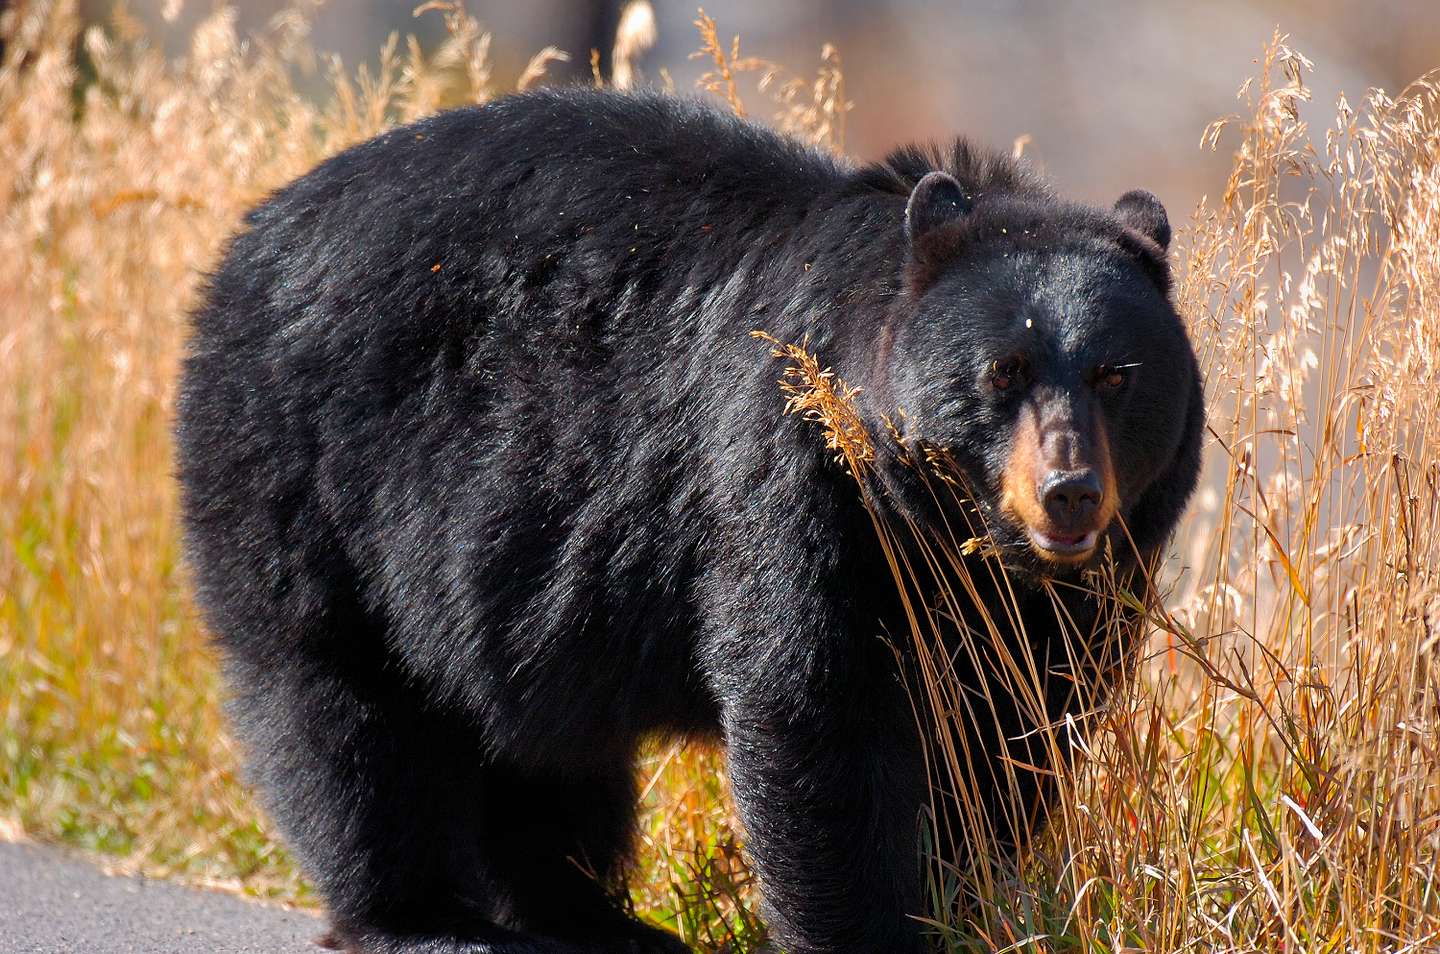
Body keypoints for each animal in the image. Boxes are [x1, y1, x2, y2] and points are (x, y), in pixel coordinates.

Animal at [174, 88, 1203, 954]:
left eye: (1117, 375)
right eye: (1003, 372)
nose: (1069, 492)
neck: (948, 534)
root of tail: (247, 241)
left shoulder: (1069, 591)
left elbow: (1011, 727)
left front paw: (965, 899)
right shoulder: (797, 476)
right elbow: (814, 705)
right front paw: (869, 927)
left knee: (541, 743)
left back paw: (591, 917)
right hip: (311, 471)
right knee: (344, 705)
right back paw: (423, 916)